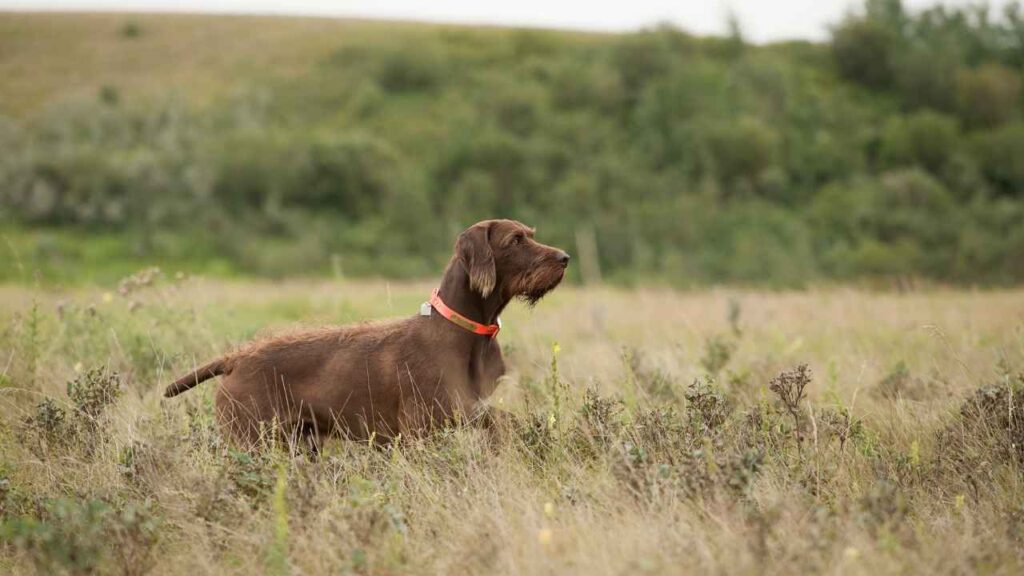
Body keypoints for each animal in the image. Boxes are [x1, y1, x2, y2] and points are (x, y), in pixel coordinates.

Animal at [165, 219, 569, 448]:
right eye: (515, 240)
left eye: (530, 235)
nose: (564, 258)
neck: (464, 331)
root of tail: (236, 358)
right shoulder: (421, 430)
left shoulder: (474, 412)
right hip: (252, 441)